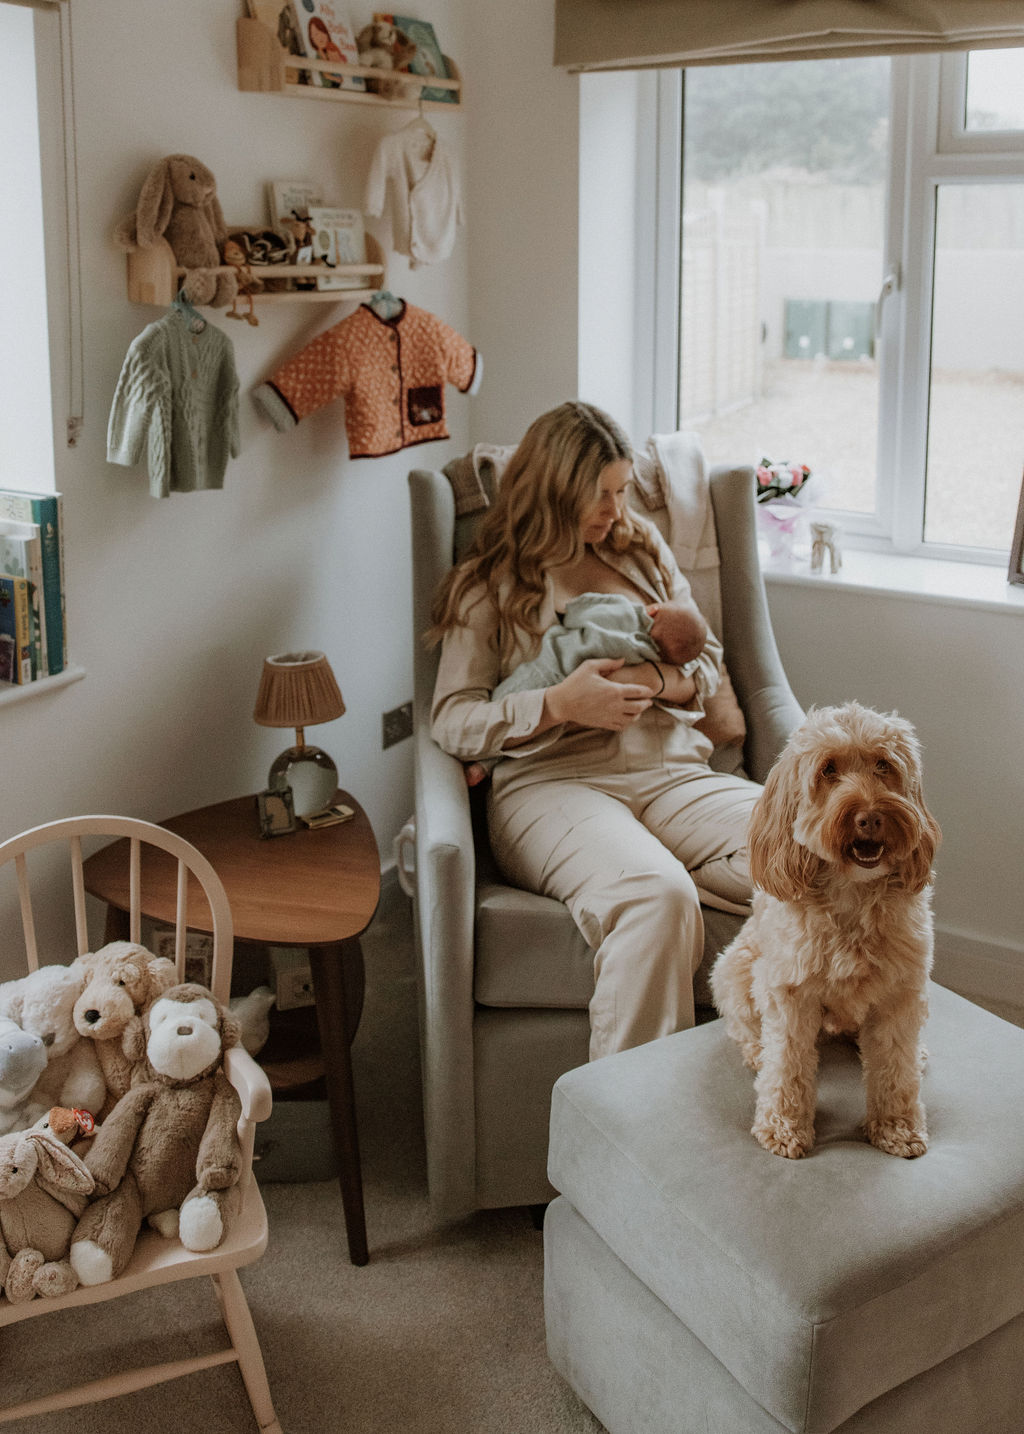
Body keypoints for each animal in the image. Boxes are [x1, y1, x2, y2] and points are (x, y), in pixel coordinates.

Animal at [705, 705, 935, 1164]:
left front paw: (897, 1127)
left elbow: (895, 1068)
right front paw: (783, 1128)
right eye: (828, 769)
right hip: (735, 968)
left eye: (884, 765)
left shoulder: (901, 994)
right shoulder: (790, 994)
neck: (853, 893)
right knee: (744, 1027)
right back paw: (756, 1052)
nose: (870, 816)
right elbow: (788, 1065)